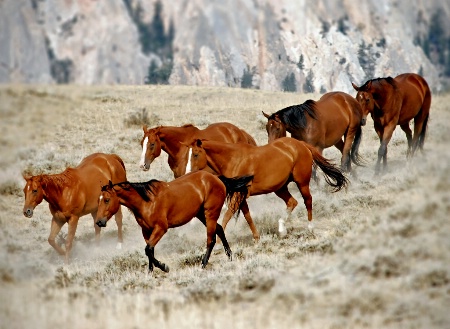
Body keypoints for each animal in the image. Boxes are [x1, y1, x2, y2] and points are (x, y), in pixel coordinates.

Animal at [95, 169, 253, 272]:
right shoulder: (146, 231)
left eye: (107, 200)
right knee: (219, 229)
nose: (99, 222)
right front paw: (151, 271)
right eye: (99, 200)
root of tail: (217, 179)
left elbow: (148, 249)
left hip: (210, 214)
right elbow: (149, 251)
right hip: (201, 214)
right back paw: (229, 255)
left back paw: (203, 264)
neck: (146, 202)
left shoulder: (161, 228)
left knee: (211, 239)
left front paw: (164, 267)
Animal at [186, 137, 348, 237]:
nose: (187, 174)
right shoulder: (241, 195)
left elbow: (227, 215)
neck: (233, 159)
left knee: (307, 200)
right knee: (292, 202)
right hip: (280, 188)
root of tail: (301, 144)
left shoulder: (238, 194)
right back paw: (282, 230)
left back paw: (310, 228)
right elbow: (247, 216)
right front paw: (256, 238)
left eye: (195, 154)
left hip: (301, 182)